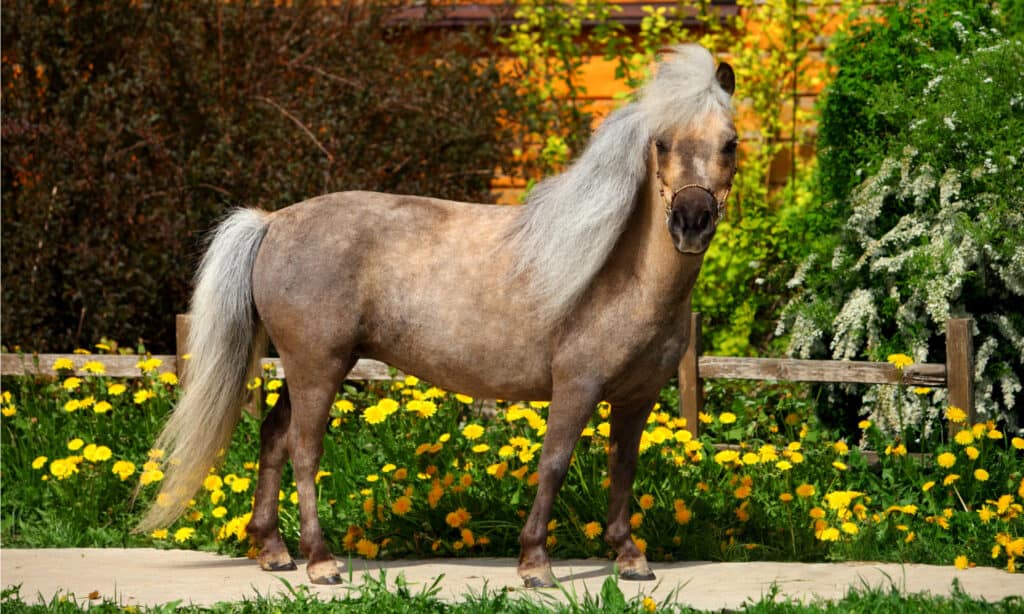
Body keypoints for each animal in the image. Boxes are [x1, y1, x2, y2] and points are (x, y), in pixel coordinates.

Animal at [139, 43, 737, 588]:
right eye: (661, 143)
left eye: (730, 143)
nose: (692, 221)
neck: (621, 275)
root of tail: (272, 222)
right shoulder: (576, 387)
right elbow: (554, 463)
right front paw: (534, 564)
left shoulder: (637, 398)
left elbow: (622, 467)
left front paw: (629, 557)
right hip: (317, 368)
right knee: (304, 450)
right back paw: (320, 562)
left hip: (306, 368)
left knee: (272, 437)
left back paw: (274, 552)